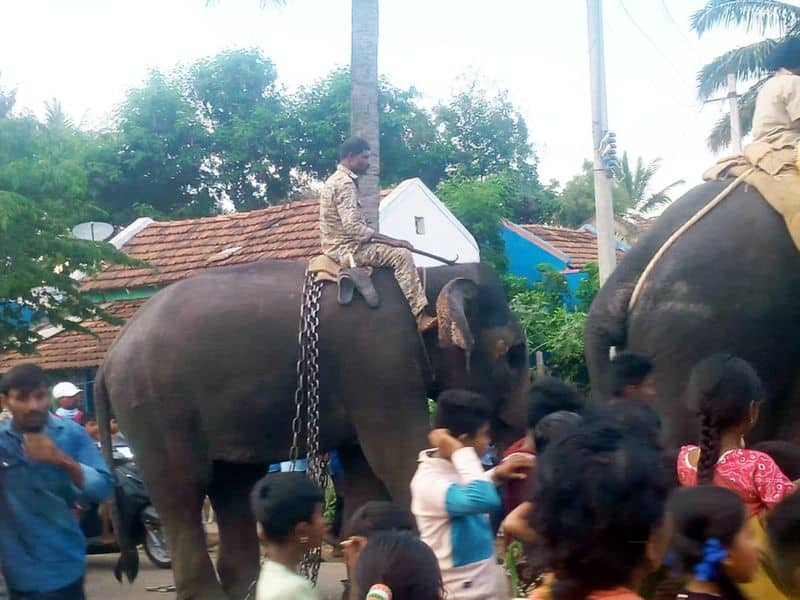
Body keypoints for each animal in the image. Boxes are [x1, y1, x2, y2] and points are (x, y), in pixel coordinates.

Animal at [94, 262, 528, 600]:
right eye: (513, 354)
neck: (428, 277)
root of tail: (108, 357)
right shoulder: (380, 362)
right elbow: (399, 458)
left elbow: (365, 475)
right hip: (156, 408)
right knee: (183, 493)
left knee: (232, 487)